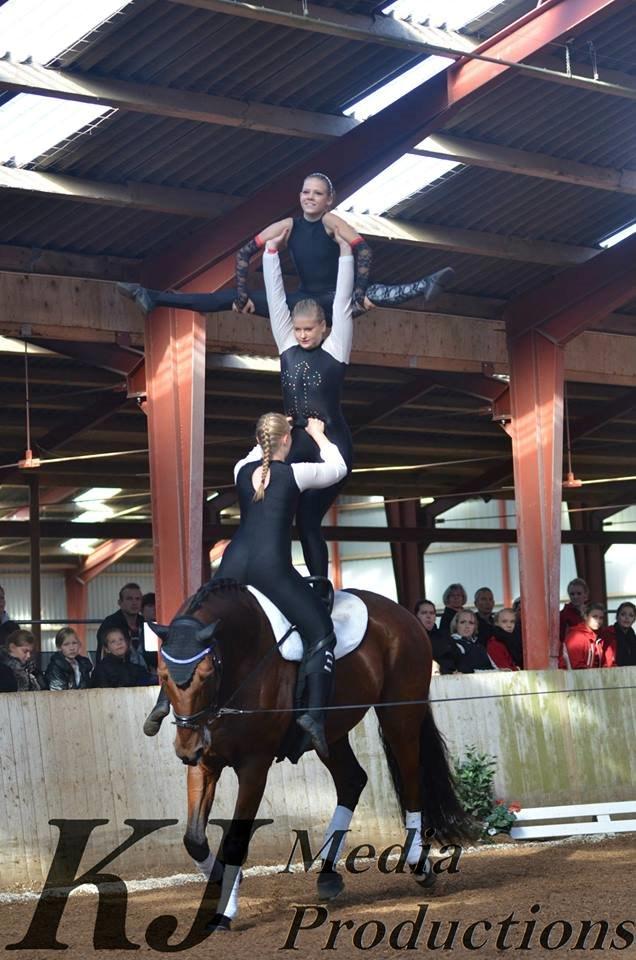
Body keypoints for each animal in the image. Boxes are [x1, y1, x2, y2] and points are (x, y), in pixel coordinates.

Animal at [154, 576, 472, 928]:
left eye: (207, 675)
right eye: (162, 675)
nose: (187, 748)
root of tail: (404, 614)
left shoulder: (254, 766)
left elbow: (236, 839)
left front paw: (224, 910)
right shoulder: (206, 764)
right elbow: (194, 840)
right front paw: (227, 884)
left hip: (399, 713)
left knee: (410, 775)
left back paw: (417, 864)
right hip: (330, 733)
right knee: (352, 780)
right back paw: (328, 875)